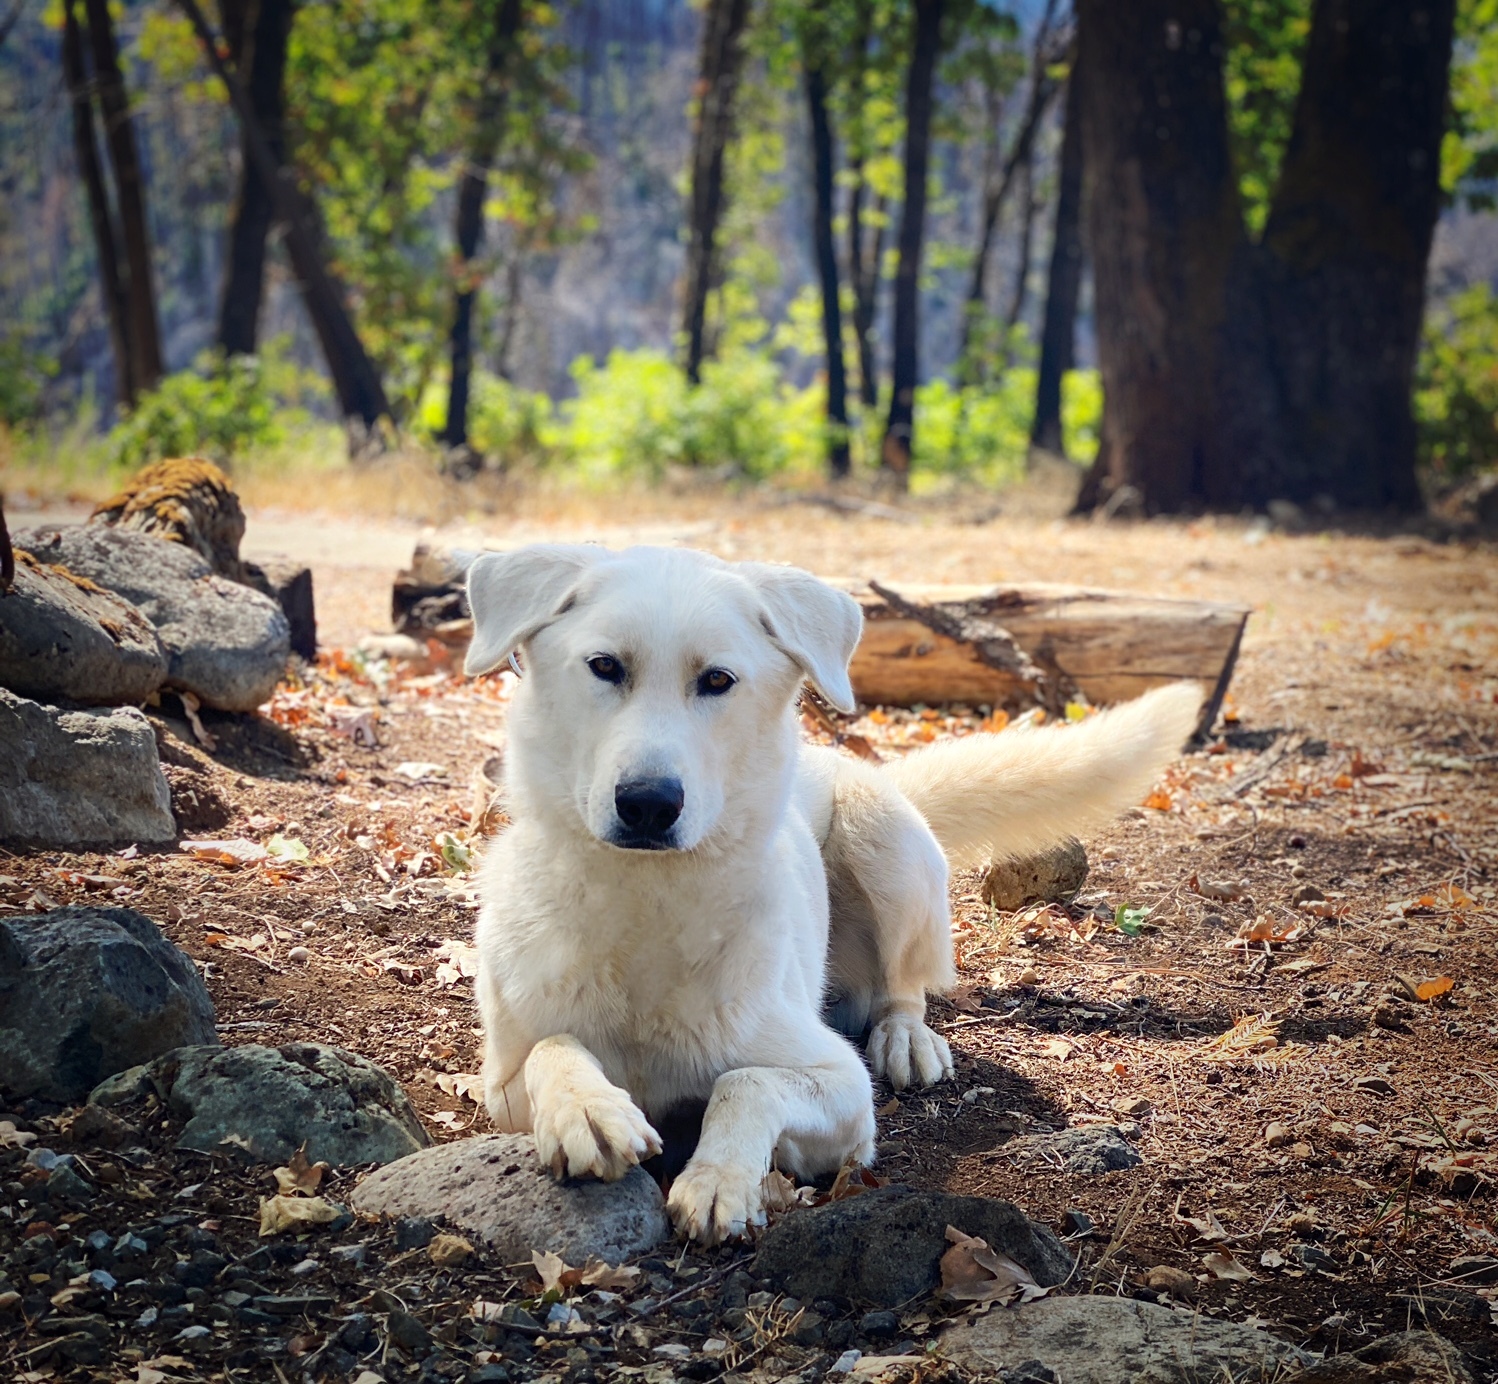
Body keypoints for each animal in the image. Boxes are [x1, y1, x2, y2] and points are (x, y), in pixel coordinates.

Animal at [461, 548, 1198, 1246]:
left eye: (717, 680)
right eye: (605, 666)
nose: (647, 804)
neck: (647, 908)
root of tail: (854, 764)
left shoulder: (843, 1089)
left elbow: (744, 1081)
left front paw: (721, 1178)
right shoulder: (500, 1089)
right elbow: (554, 1047)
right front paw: (588, 1108)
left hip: (881, 837)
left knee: (905, 986)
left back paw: (905, 1038)